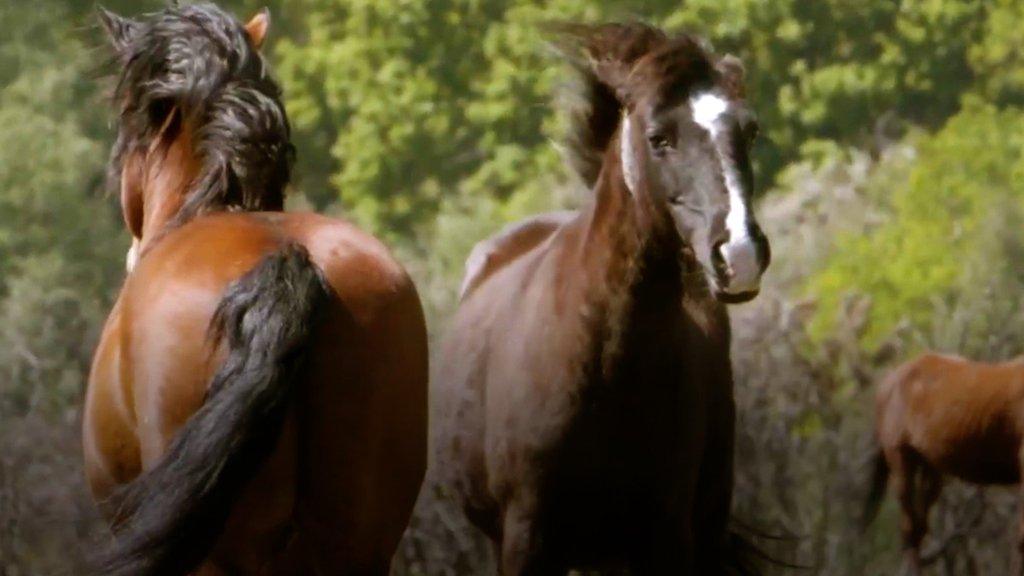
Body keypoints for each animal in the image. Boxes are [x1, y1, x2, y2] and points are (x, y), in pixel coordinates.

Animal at [430, 23, 770, 573]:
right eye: (658, 138)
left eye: (750, 130)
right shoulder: (526, 537)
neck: (601, 363)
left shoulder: (666, 534)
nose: (739, 253)